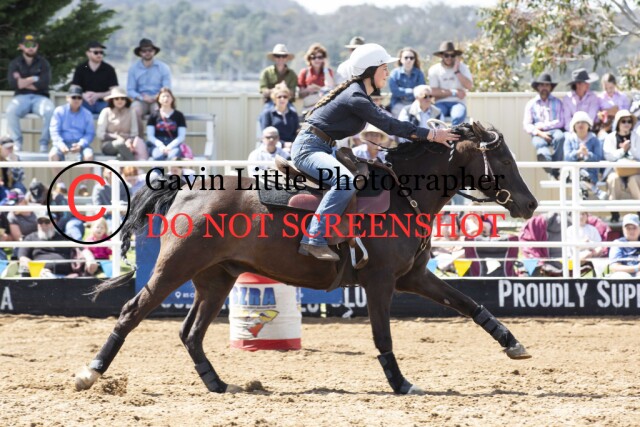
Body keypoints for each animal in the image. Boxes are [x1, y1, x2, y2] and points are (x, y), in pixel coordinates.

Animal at [75, 121, 538, 395]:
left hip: (216, 278)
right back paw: (91, 372)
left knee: (191, 332)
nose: (530, 204)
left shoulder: (413, 278)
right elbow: (383, 336)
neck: (403, 195)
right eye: (501, 158)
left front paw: (513, 343)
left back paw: (217, 383)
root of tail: (186, 188)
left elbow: (468, 303)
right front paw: (401, 382)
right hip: (174, 268)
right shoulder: (380, 282)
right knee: (133, 311)